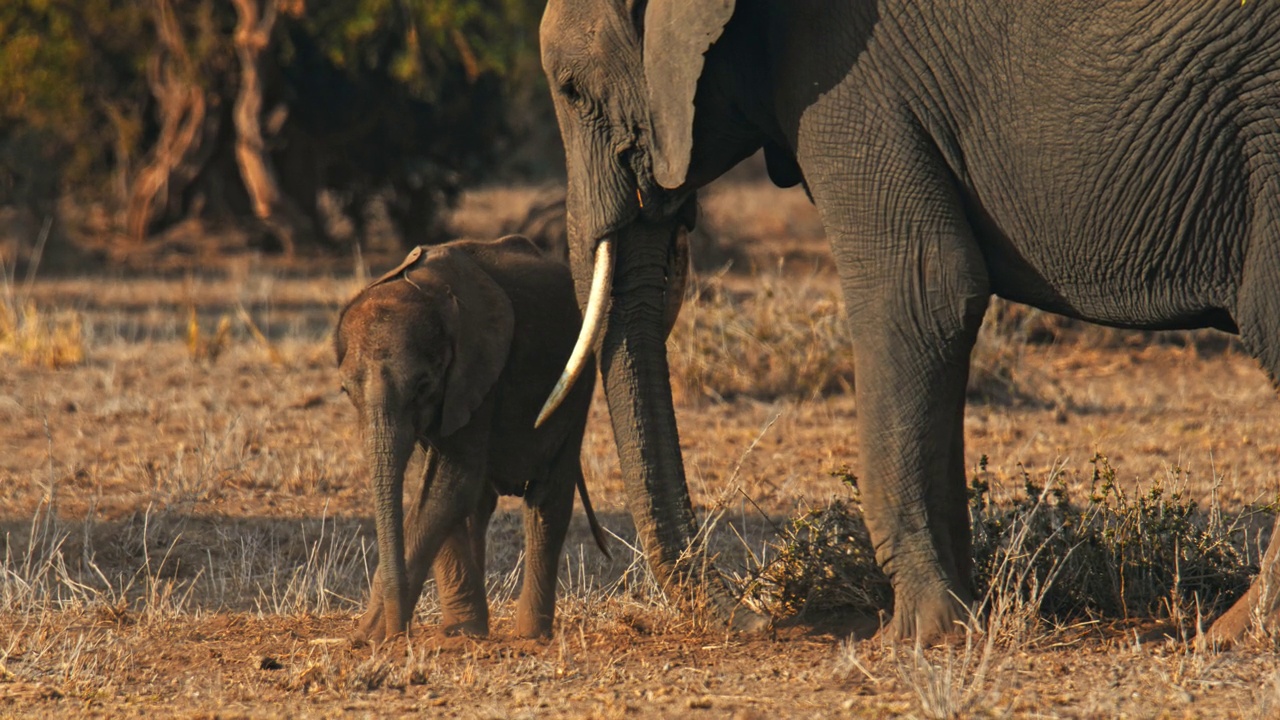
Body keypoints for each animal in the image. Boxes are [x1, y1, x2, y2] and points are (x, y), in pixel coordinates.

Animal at [335, 235, 604, 638]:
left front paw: (372, 634)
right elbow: (441, 490)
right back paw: (474, 630)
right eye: (346, 391)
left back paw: (531, 635)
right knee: (480, 504)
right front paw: (455, 633)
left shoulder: (477, 371)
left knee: (548, 499)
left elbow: (450, 485)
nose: (399, 631)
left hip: (577, 379)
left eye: (423, 387)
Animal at [535, 0, 1280, 638]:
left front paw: (918, 634)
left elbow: (922, 288)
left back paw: (1232, 635)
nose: (757, 621)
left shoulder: (846, 77)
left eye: (571, 88)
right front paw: (965, 617)